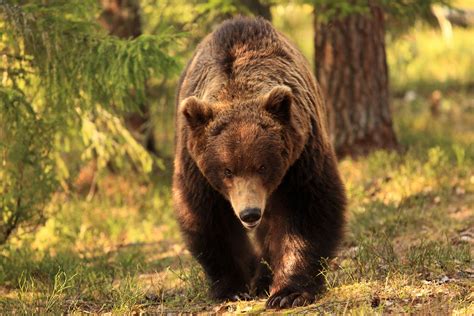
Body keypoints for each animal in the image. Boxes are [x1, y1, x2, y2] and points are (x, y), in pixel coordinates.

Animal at [172, 16, 346, 308]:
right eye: (227, 170)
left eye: (262, 166)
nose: (250, 213)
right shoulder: (196, 168)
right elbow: (209, 219)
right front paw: (234, 287)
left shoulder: (300, 158)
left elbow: (307, 210)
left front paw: (288, 292)